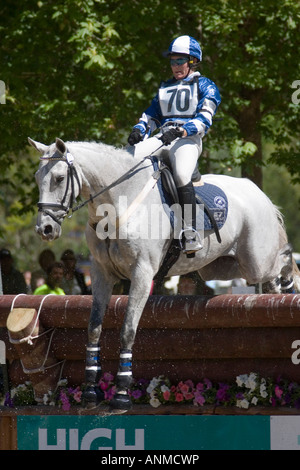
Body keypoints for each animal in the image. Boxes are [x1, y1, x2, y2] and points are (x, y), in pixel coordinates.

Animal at [29, 138, 298, 410]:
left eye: (59, 178)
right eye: (37, 178)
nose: (45, 229)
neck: (116, 204)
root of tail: (257, 192)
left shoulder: (142, 272)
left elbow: (128, 330)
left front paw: (121, 394)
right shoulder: (101, 272)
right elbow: (94, 327)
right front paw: (90, 392)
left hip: (255, 260)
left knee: (283, 258)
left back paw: (289, 286)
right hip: (218, 265)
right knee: (265, 272)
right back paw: (277, 292)